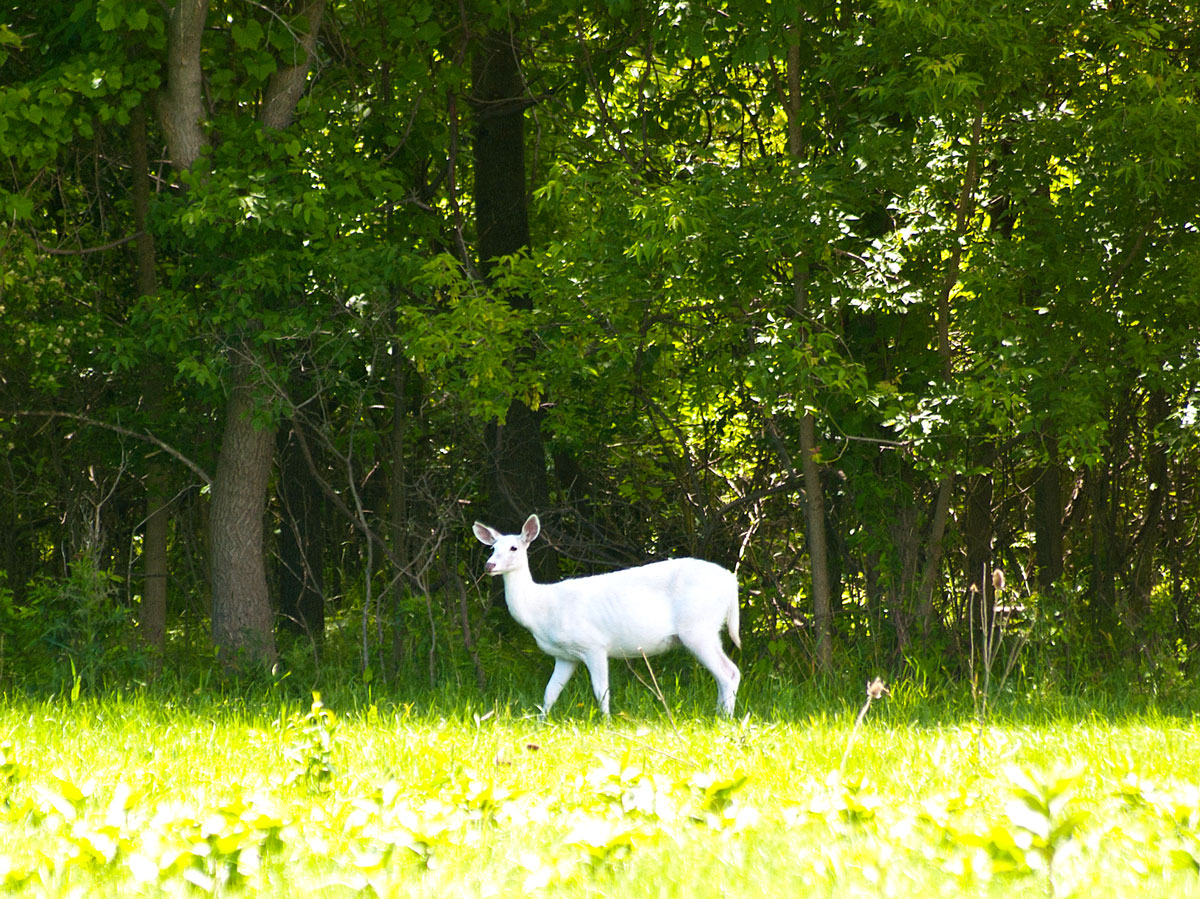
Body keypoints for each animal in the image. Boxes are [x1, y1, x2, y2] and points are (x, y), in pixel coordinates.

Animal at [472, 514, 741, 719]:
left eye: (514, 547)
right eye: (492, 548)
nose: (489, 566)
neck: (541, 609)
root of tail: (731, 581)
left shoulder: (594, 645)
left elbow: (601, 691)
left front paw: (606, 723)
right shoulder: (565, 656)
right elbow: (550, 692)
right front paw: (540, 722)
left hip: (698, 627)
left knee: (729, 672)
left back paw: (724, 719)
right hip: (705, 628)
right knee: (725, 675)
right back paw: (719, 714)